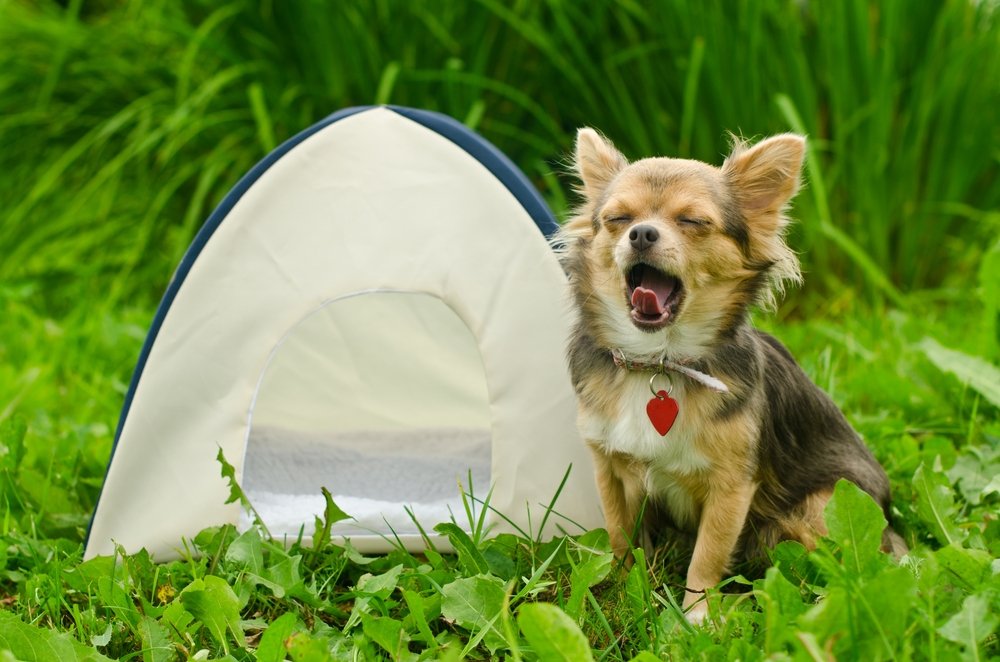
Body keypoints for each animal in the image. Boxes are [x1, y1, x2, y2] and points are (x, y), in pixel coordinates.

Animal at [556, 128, 908, 624]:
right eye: (617, 219)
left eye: (693, 221)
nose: (641, 233)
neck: (660, 362)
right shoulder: (611, 470)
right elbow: (621, 539)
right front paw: (624, 597)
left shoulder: (731, 488)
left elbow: (707, 554)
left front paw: (696, 618)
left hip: (823, 506)